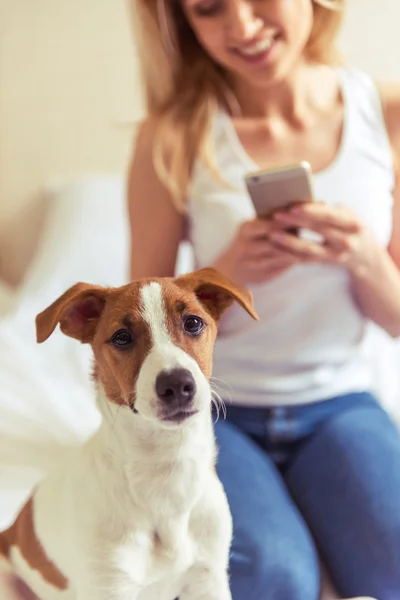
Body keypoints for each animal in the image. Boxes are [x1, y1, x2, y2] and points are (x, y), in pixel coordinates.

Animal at [0, 268, 256, 600]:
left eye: (193, 323)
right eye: (122, 337)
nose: (177, 384)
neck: (165, 474)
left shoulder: (208, 578)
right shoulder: (109, 586)